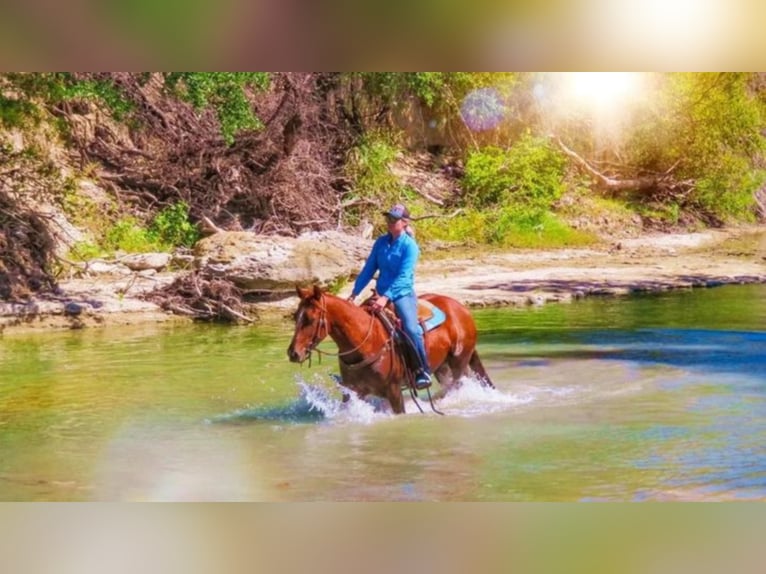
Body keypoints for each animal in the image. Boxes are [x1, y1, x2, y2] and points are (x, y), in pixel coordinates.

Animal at [288, 286, 498, 414]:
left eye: (310, 319)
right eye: (296, 316)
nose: (293, 353)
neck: (366, 341)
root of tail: (462, 309)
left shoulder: (393, 391)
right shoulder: (352, 391)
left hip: (459, 363)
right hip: (441, 367)